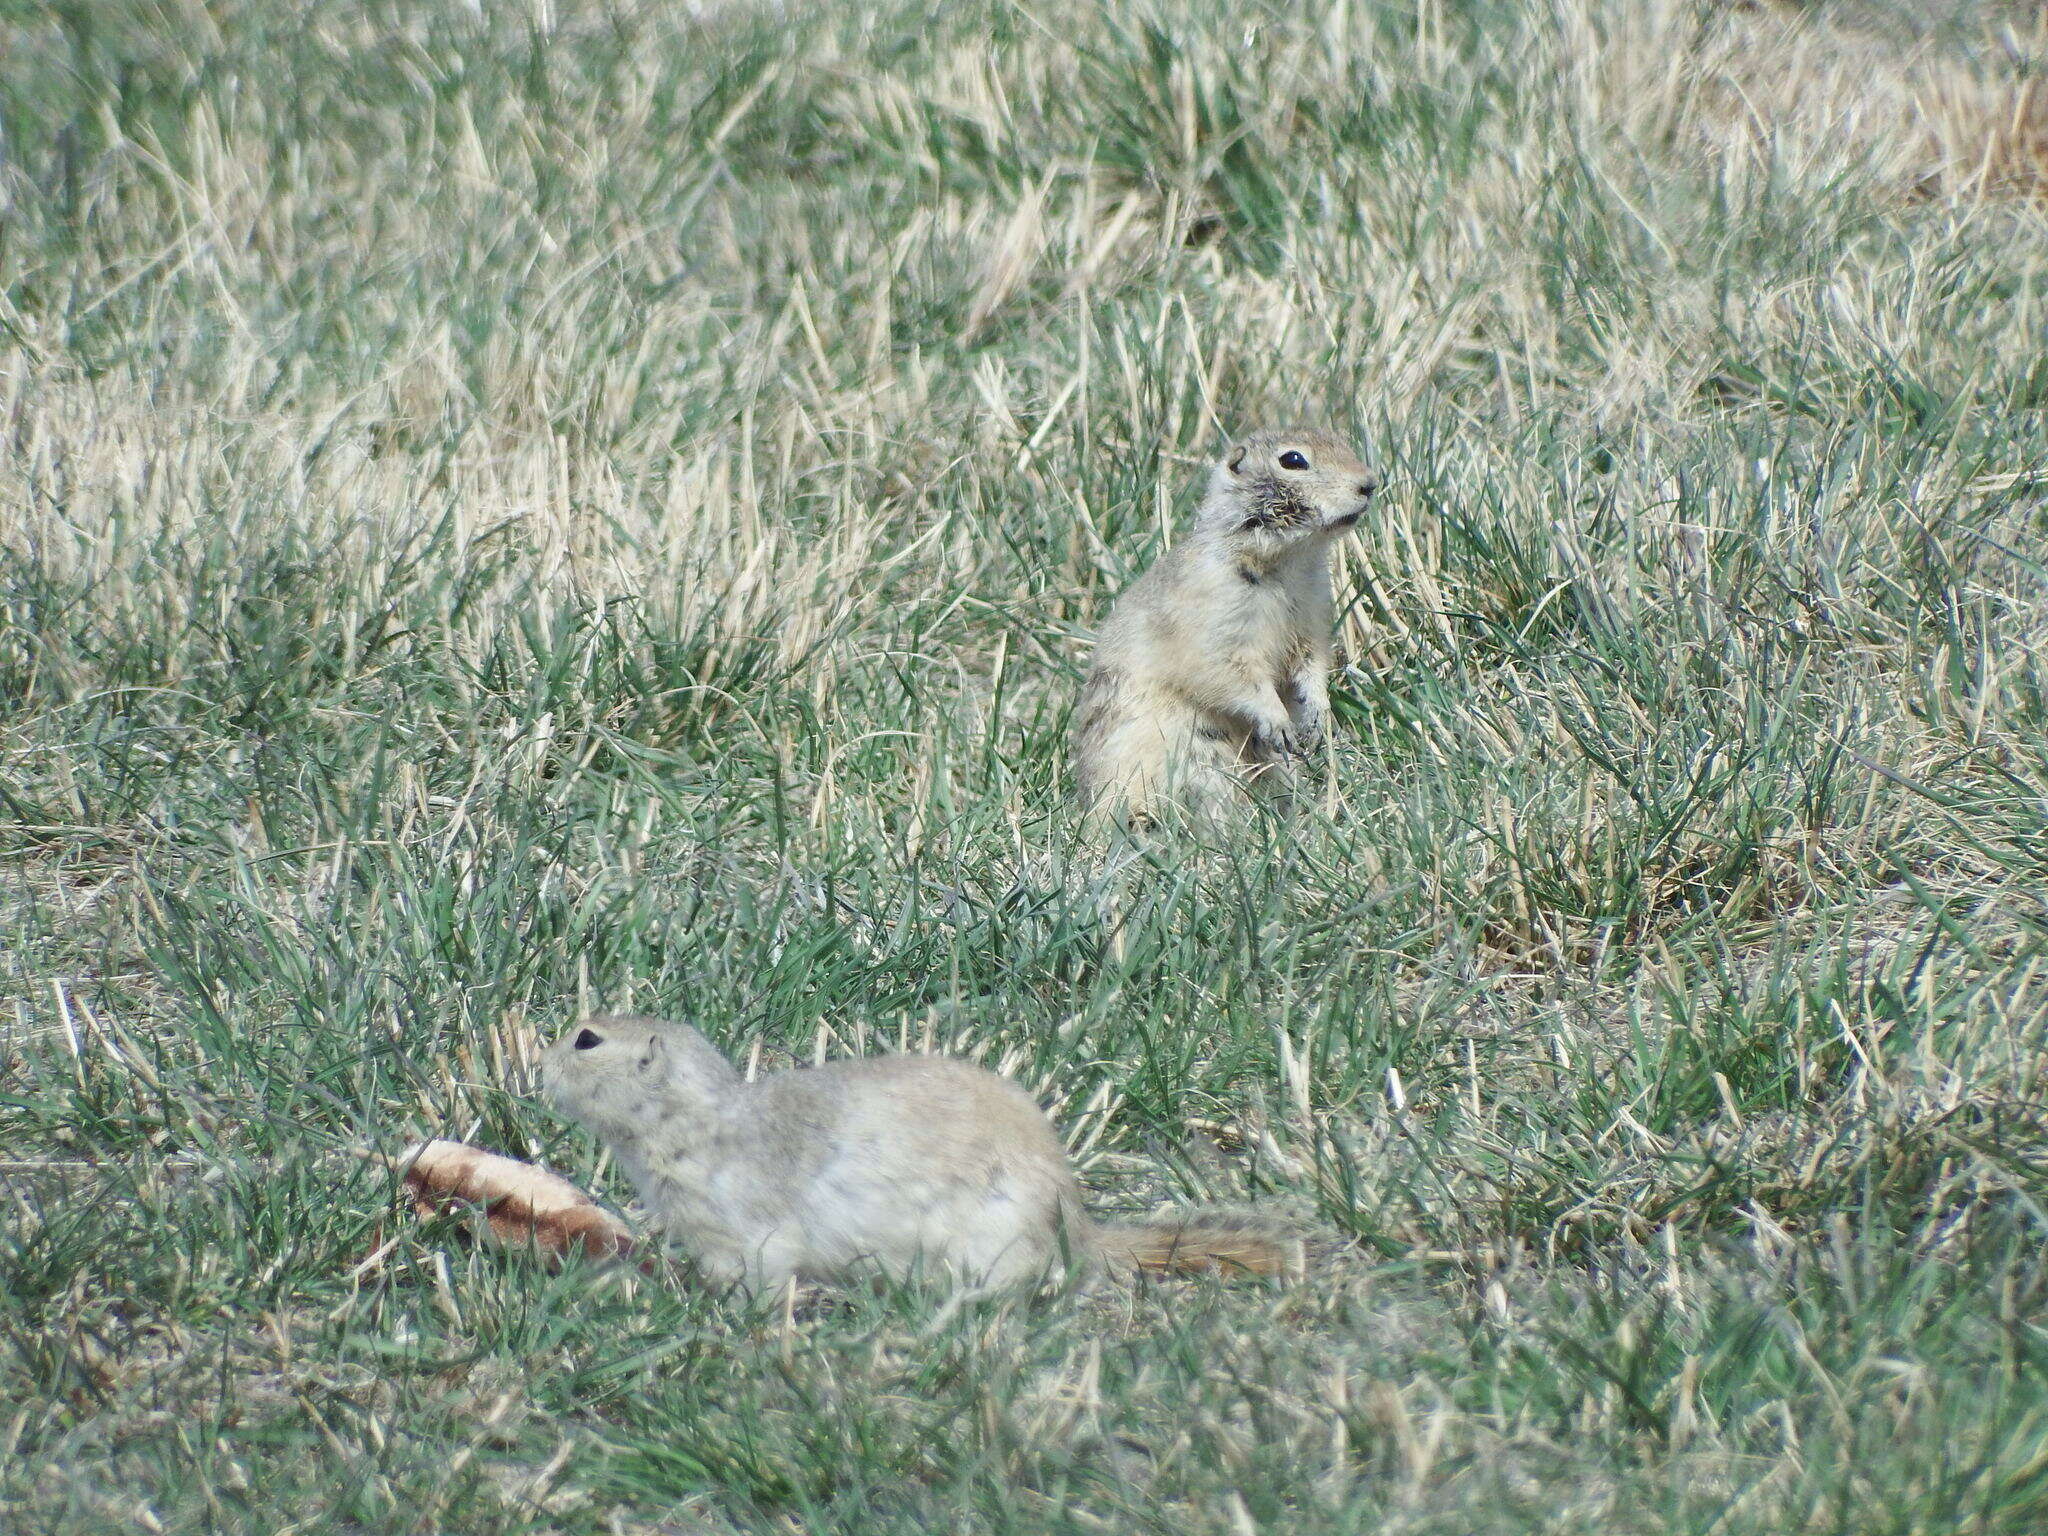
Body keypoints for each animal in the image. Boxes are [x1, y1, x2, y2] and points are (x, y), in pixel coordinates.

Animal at [536, 1015, 1302, 1294]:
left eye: (585, 1039)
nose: (538, 1063)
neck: (696, 1121)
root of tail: (1078, 1228)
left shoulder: (745, 1225)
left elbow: (761, 1271)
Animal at [1073, 428, 1376, 823]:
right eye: (1293, 460)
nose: (1369, 484)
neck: (1286, 562)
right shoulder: (1215, 629)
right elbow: (1233, 676)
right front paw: (1279, 723)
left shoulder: (1311, 622)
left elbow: (1312, 666)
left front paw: (1318, 719)